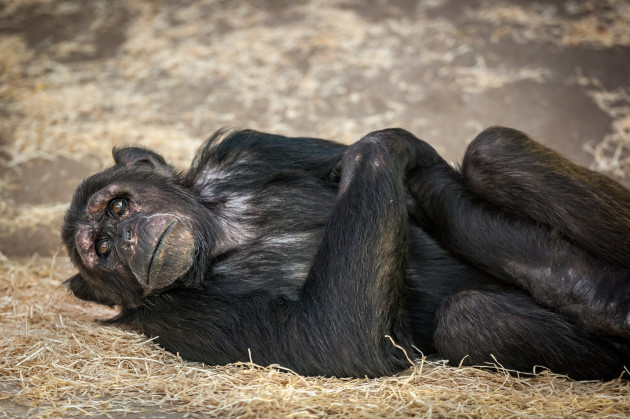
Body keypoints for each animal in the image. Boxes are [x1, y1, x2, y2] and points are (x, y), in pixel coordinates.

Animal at [61, 127, 630, 380]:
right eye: (101, 249)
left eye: (117, 206)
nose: (126, 237)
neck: (222, 233)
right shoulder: (175, 319)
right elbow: (330, 339)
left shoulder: (254, 148)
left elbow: (429, 186)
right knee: (473, 318)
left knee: (494, 152)